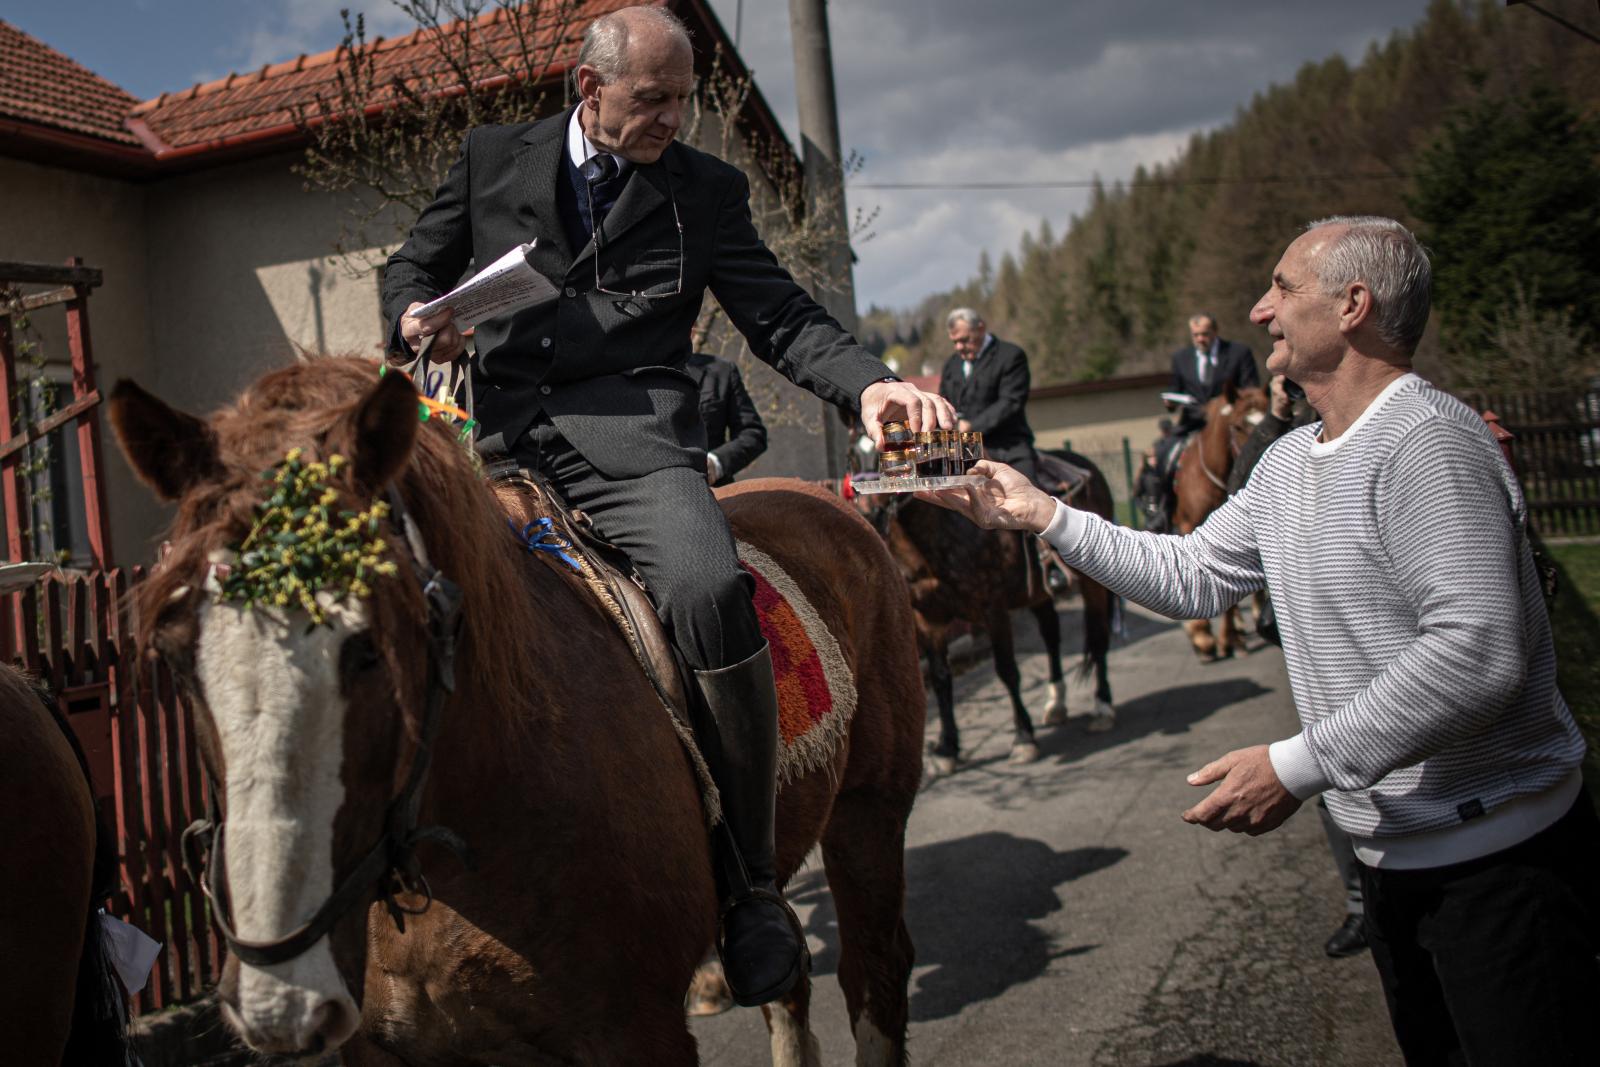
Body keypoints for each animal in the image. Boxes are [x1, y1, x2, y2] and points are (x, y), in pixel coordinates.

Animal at [109, 358, 928, 1067]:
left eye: (370, 648)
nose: (282, 997)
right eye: (176, 655)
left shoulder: (636, 1035)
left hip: (867, 817)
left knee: (875, 976)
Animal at [870, 454, 1120, 777]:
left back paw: (1102, 706)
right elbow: (940, 678)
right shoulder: (927, 620)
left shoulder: (994, 610)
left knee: (1098, 636)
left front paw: (1023, 738)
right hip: (1038, 594)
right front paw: (947, 748)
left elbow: (1007, 670)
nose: (872, 516)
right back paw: (1056, 703)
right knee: (1052, 636)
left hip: (1093, 585)